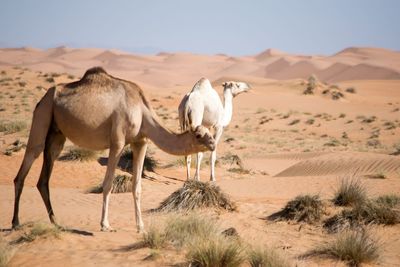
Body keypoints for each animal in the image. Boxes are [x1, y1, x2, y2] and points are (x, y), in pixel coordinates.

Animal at [11, 67, 216, 232]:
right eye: (199, 135)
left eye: (210, 133)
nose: (213, 143)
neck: (142, 111)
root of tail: (43, 98)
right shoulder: (117, 142)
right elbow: (108, 183)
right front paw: (105, 225)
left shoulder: (141, 142)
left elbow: (137, 186)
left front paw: (140, 227)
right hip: (43, 113)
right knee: (28, 161)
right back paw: (15, 222)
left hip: (56, 133)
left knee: (44, 176)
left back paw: (55, 222)